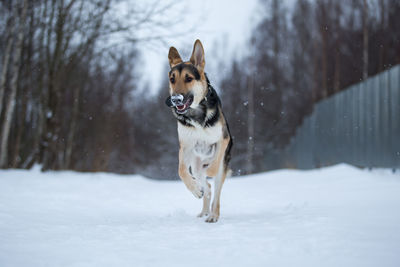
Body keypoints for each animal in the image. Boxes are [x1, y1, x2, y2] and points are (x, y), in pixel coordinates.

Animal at [165, 39, 233, 224]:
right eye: (172, 79)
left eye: (188, 78)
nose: (175, 99)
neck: (196, 114)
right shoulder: (186, 146)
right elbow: (181, 171)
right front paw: (195, 190)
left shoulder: (223, 139)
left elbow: (214, 165)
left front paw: (209, 170)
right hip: (195, 165)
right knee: (207, 186)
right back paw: (204, 209)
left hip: (221, 167)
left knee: (215, 191)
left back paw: (213, 215)